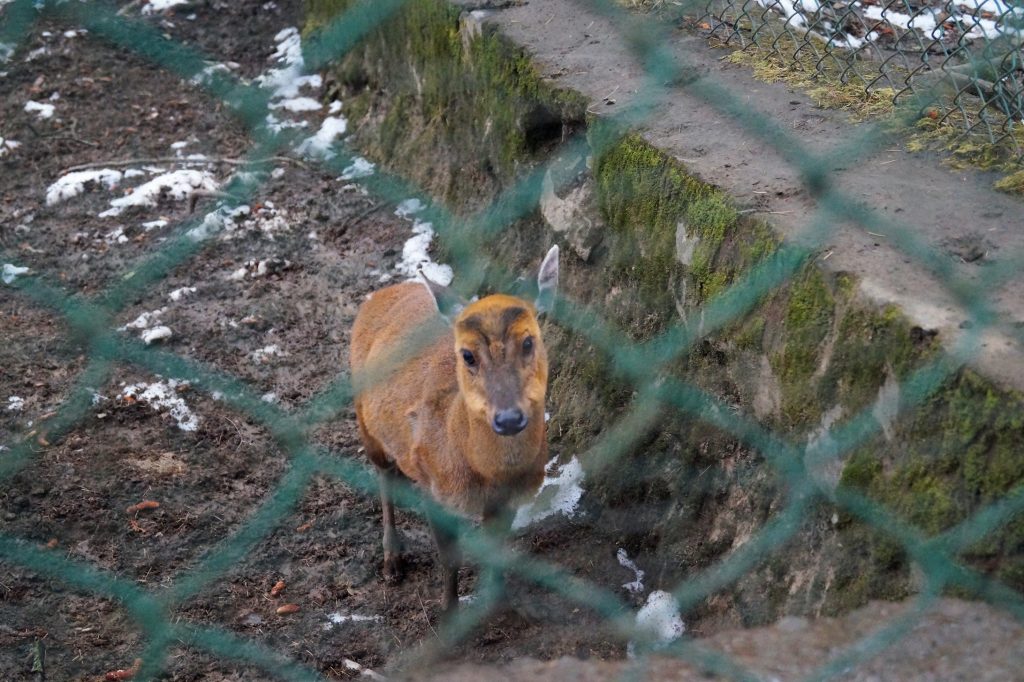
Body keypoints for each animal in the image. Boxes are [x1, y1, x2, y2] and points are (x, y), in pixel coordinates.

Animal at [352, 246, 561, 614]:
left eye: (528, 342)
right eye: (467, 355)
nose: (508, 418)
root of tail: (384, 292)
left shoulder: (510, 498)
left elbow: (497, 551)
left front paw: (499, 601)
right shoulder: (436, 487)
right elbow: (450, 557)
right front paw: (449, 612)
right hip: (363, 416)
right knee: (384, 476)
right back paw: (392, 560)